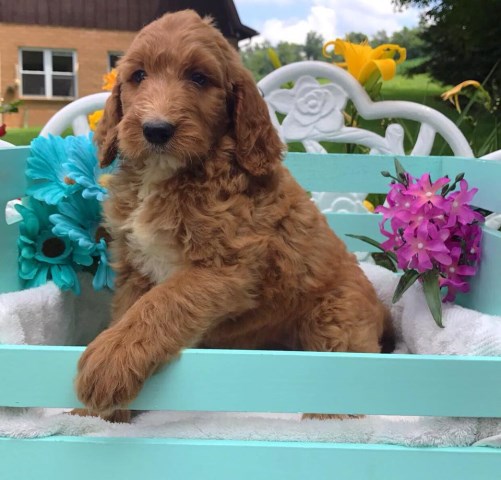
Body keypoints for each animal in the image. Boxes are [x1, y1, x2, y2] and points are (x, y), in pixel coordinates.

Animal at [76, 8, 390, 420]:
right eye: (138, 76)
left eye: (199, 77)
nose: (156, 129)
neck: (167, 175)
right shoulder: (134, 268)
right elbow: (129, 310)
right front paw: (105, 414)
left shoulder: (227, 267)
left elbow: (161, 304)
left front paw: (108, 360)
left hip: (336, 319)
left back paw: (326, 417)